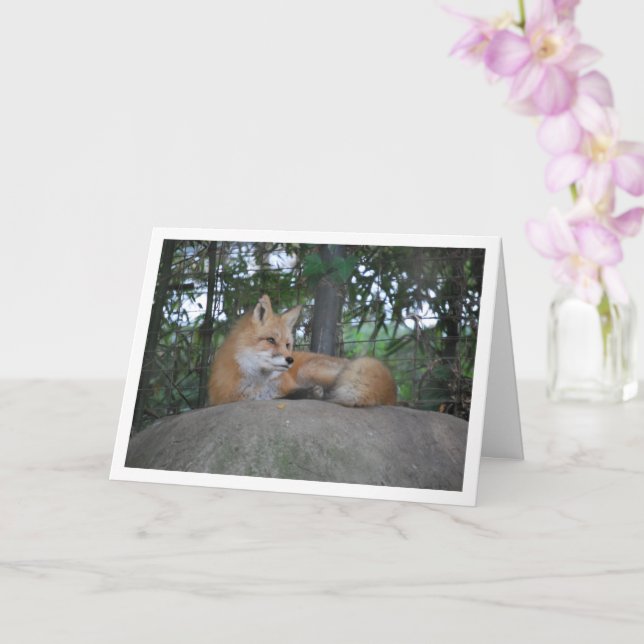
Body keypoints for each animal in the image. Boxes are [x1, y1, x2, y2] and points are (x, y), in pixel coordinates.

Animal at [208, 294, 397, 407]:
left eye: (287, 345)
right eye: (271, 340)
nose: (290, 360)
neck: (258, 383)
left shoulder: (288, 386)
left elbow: (293, 394)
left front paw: (312, 393)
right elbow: (287, 396)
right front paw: (311, 393)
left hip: (309, 370)